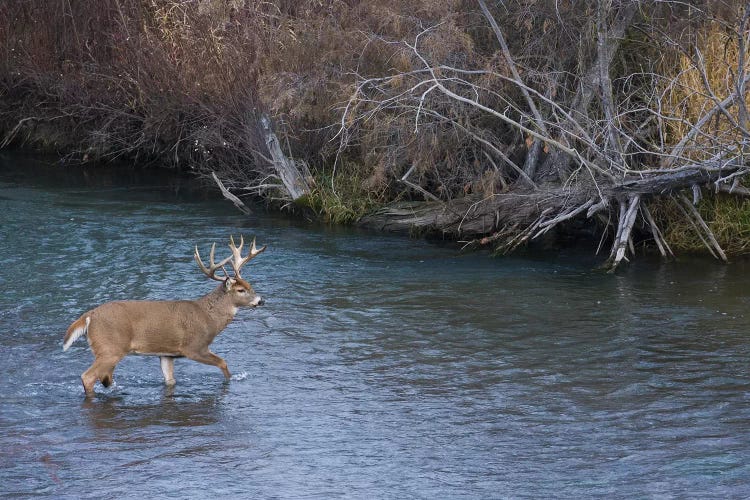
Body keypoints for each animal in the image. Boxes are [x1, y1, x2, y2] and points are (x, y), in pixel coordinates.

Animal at [63, 235, 268, 394]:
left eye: (250, 285)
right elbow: (223, 363)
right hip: (110, 348)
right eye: (241, 290)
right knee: (88, 376)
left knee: (104, 377)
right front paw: (230, 381)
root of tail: (88, 316)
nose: (261, 300)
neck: (208, 317)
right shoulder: (194, 346)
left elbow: (170, 380)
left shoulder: (166, 354)